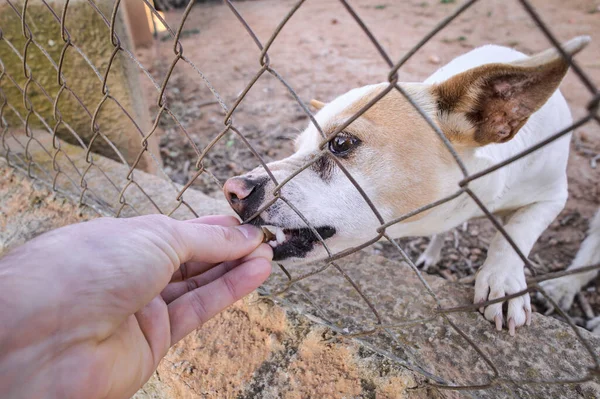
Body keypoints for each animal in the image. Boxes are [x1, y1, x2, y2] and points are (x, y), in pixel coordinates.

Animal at [224, 36, 592, 336]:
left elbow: (515, 233)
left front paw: (503, 281)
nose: (233, 191)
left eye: (341, 143)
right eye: (295, 147)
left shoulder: (553, 196)